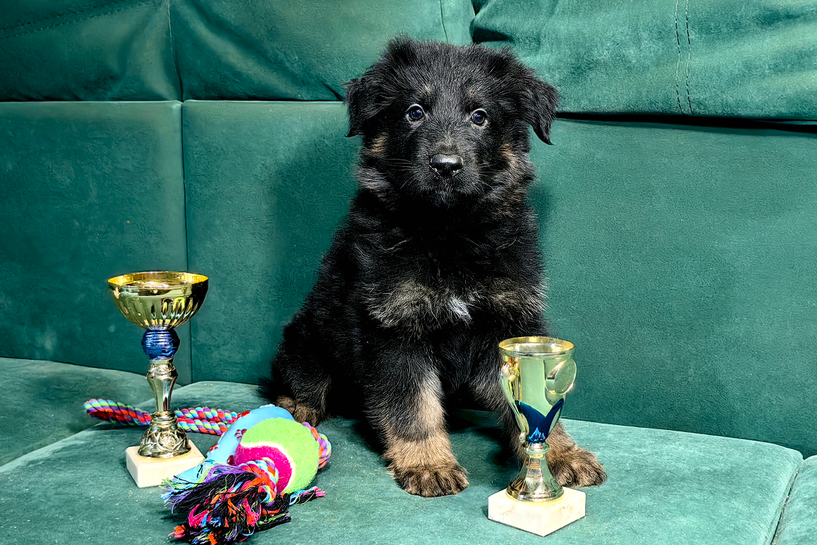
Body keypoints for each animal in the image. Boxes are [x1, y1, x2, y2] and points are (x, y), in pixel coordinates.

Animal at [261, 38, 606, 497]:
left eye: (479, 116)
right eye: (414, 112)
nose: (445, 165)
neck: (448, 231)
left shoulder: (509, 323)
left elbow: (534, 412)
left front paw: (560, 453)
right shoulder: (393, 328)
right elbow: (412, 404)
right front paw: (427, 462)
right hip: (308, 335)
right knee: (299, 378)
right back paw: (297, 406)